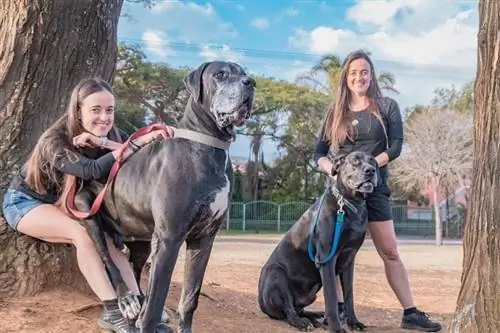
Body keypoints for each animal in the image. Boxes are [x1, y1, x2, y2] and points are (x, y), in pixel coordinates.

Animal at [74, 60, 256, 332]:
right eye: (221, 74)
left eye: (243, 72)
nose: (251, 83)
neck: (209, 144)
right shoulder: (170, 239)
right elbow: (156, 301)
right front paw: (147, 320)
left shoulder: (204, 239)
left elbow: (189, 298)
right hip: (86, 206)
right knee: (108, 260)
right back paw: (126, 299)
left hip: (141, 239)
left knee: (135, 268)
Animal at [256, 151, 376, 332]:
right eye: (355, 161)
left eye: (373, 161)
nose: (371, 171)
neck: (350, 204)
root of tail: (261, 305)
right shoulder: (326, 258)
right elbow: (331, 297)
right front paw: (336, 327)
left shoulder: (349, 260)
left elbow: (349, 295)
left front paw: (353, 322)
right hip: (275, 272)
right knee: (288, 311)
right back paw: (303, 322)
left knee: (298, 310)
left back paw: (316, 317)